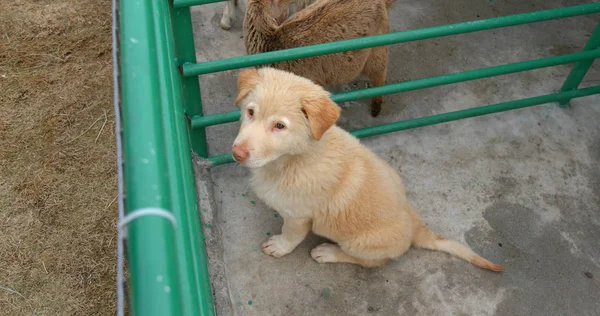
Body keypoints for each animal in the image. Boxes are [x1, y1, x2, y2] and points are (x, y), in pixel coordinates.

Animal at [232, 67, 504, 272]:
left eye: (279, 126)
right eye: (250, 112)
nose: (237, 153)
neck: (293, 159)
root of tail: (414, 227)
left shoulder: (299, 216)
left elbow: (291, 235)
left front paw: (279, 246)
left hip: (359, 242)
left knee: (370, 262)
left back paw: (328, 252)